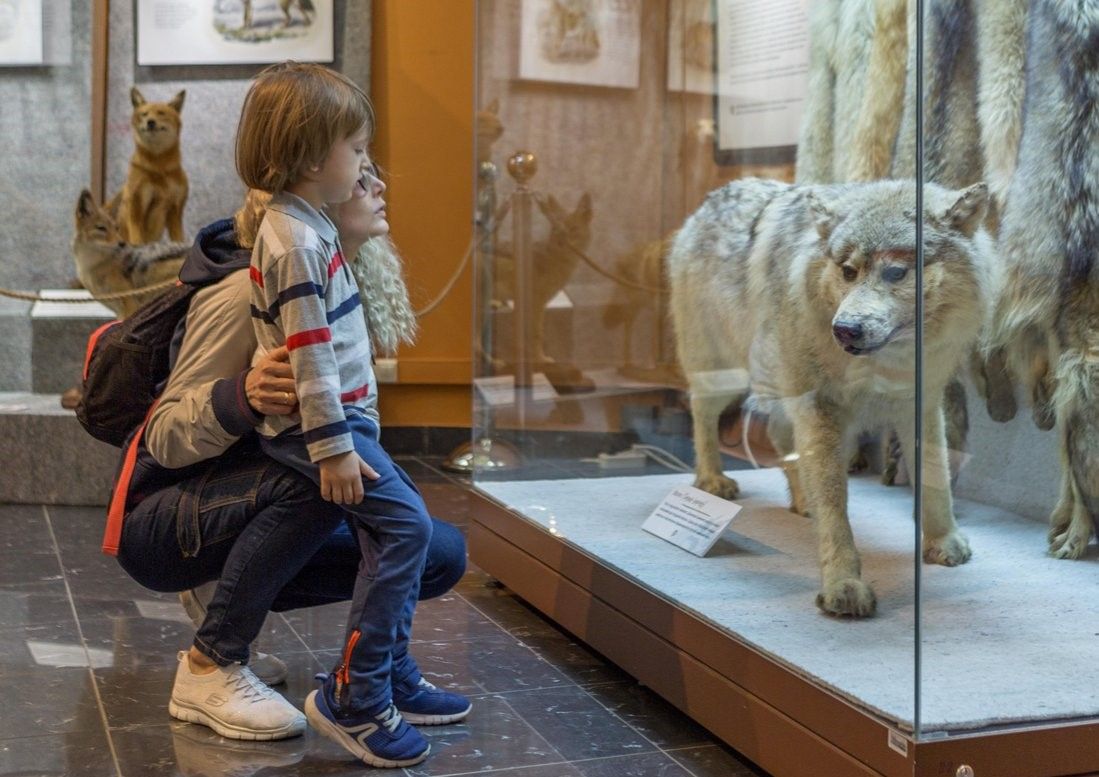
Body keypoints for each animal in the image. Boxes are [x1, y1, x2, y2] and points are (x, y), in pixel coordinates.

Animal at [110, 85, 187, 245]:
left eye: (161, 113)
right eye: (144, 114)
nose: (150, 122)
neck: (159, 169)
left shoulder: (175, 209)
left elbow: (179, 240)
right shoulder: (136, 206)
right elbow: (137, 240)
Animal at [663, 179, 1002, 615]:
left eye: (896, 272)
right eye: (848, 271)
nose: (845, 329)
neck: (888, 366)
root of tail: (716, 194)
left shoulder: (921, 401)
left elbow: (936, 475)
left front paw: (943, 540)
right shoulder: (820, 404)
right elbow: (834, 500)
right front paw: (843, 582)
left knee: (778, 436)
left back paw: (801, 500)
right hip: (725, 374)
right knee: (701, 413)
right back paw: (711, 479)